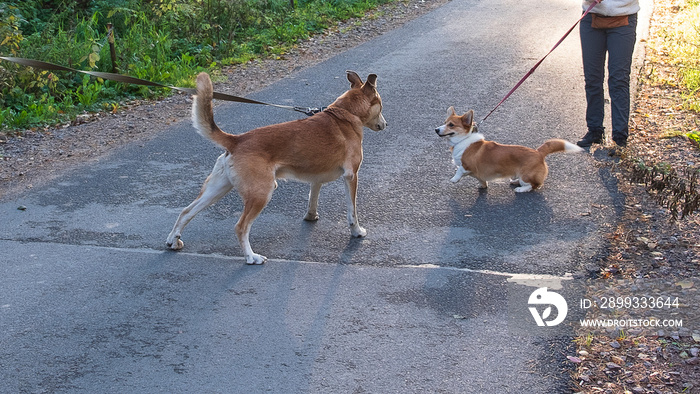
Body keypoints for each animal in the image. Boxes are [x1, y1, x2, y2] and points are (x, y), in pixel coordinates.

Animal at [169, 72, 388, 266]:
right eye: (381, 105)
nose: (385, 124)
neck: (347, 113)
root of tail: (237, 140)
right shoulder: (351, 176)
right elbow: (353, 212)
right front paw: (357, 231)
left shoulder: (316, 178)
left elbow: (312, 198)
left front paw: (311, 216)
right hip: (261, 194)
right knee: (241, 227)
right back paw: (251, 257)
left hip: (217, 189)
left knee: (186, 212)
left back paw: (173, 240)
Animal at [434, 107, 584, 193]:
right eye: (444, 122)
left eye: (451, 125)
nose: (436, 129)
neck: (463, 140)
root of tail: (539, 152)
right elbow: (482, 180)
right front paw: (483, 186)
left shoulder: (466, 165)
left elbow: (459, 170)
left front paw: (454, 179)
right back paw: (515, 181)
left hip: (526, 175)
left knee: (534, 185)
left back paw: (520, 189)